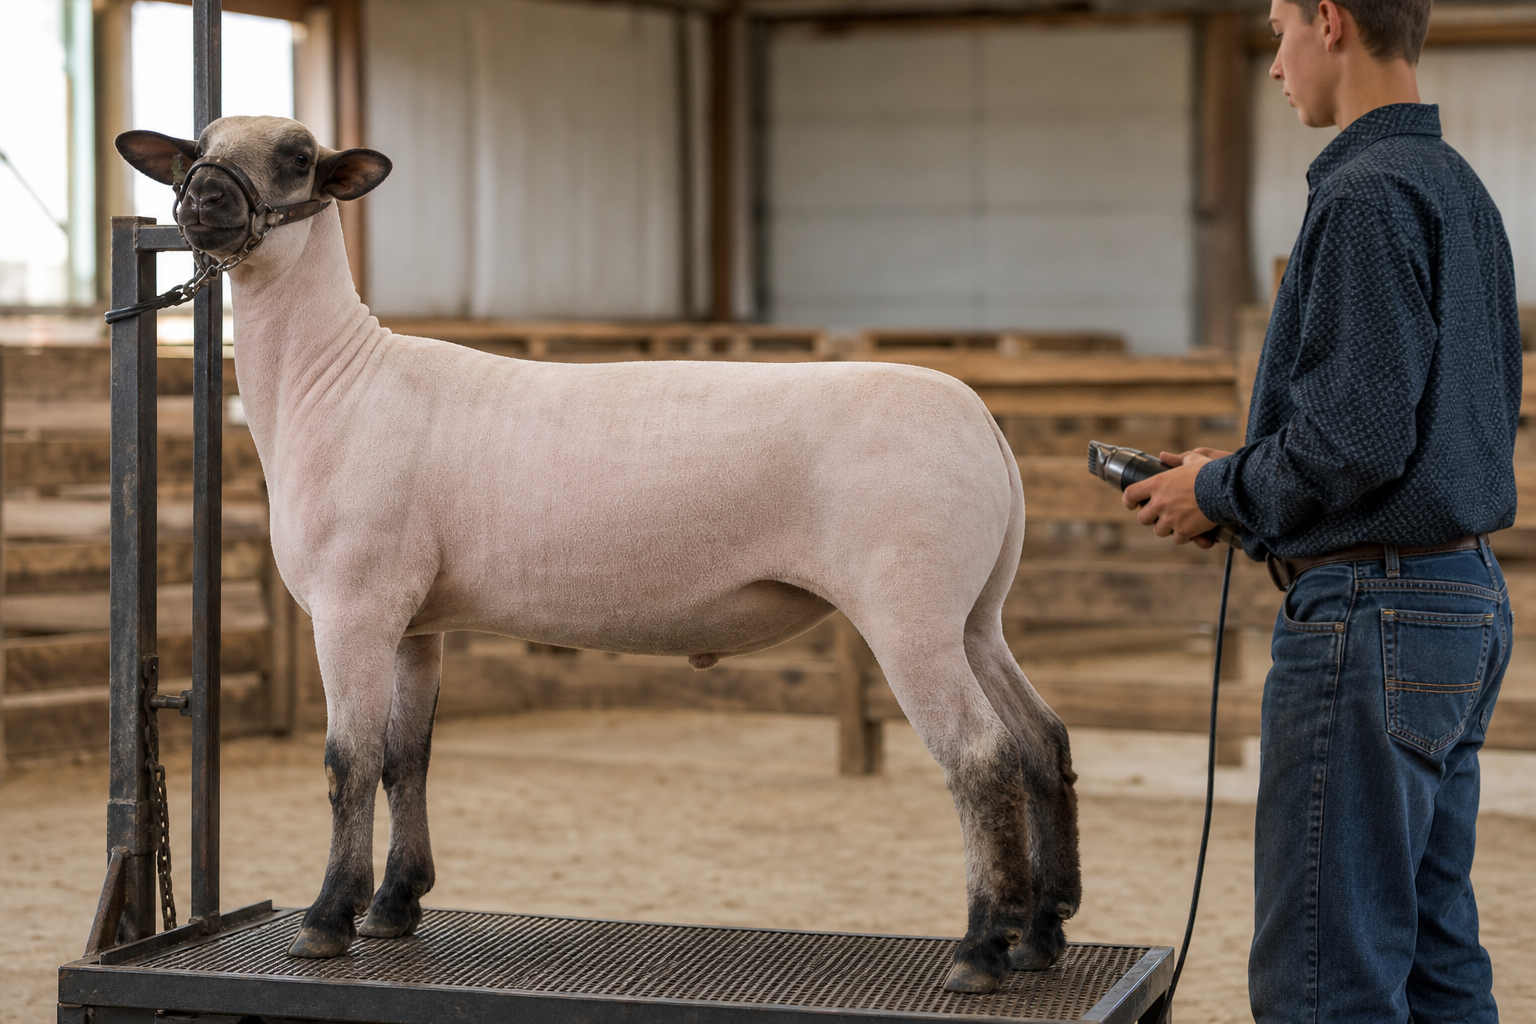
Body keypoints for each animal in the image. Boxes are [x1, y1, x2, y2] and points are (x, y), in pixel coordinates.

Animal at [116, 115, 1080, 994]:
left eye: (296, 157)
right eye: (199, 144)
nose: (200, 200)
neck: (334, 380)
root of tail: (984, 423)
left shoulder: (354, 604)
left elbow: (347, 763)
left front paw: (326, 920)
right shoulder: (414, 621)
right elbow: (405, 757)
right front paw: (395, 904)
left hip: (909, 608)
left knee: (981, 757)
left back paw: (981, 950)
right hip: (974, 613)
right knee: (1042, 737)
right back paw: (1042, 932)